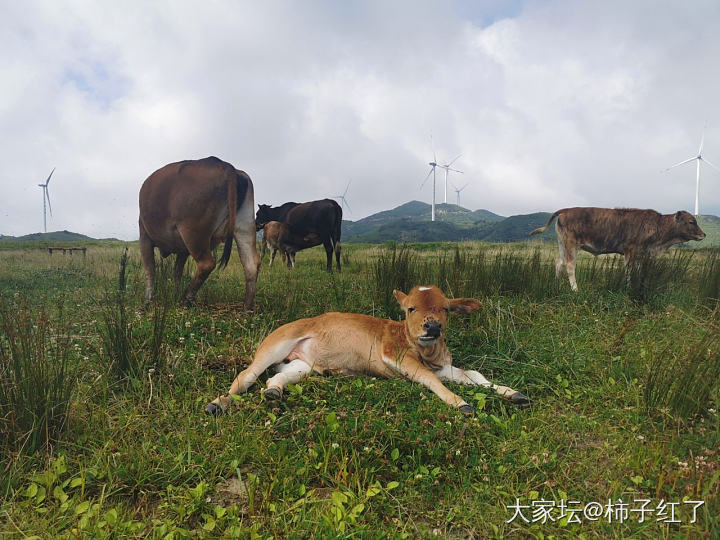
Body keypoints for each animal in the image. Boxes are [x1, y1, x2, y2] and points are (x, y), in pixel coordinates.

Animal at [138, 156, 258, 308]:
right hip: (244, 226)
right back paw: (246, 309)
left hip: (193, 234)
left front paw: (146, 302)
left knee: (206, 264)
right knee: (251, 265)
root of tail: (225, 165)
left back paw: (186, 299)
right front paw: (174, 294)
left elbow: (150, 270)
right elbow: (177, 272)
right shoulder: (183, 249)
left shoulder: (144, 235)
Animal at [205, 284, 532, 416]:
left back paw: (273, 392)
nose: (432, 327)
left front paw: (513, 393)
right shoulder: (394, 355)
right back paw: (217, 404)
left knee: (276, 378)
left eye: (445, 309)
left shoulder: (444, 366)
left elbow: (474, 374)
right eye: (410, 308)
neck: (429, 353)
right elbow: (428, 379)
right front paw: (460, 403)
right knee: (245, 377)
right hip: (274, 346)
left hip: (302, 366)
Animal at [532, 207, 704, 292]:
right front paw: (628, 287)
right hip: (571, 245)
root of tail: (565, 210)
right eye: (691, 221)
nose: (704, 234)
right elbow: (629, 271)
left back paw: (556, 284)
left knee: (558, 263)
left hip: (563, 245)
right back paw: (575, 289)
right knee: (569, 265)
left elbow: (638, 271)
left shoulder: (640, 255)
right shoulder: (630, 250)